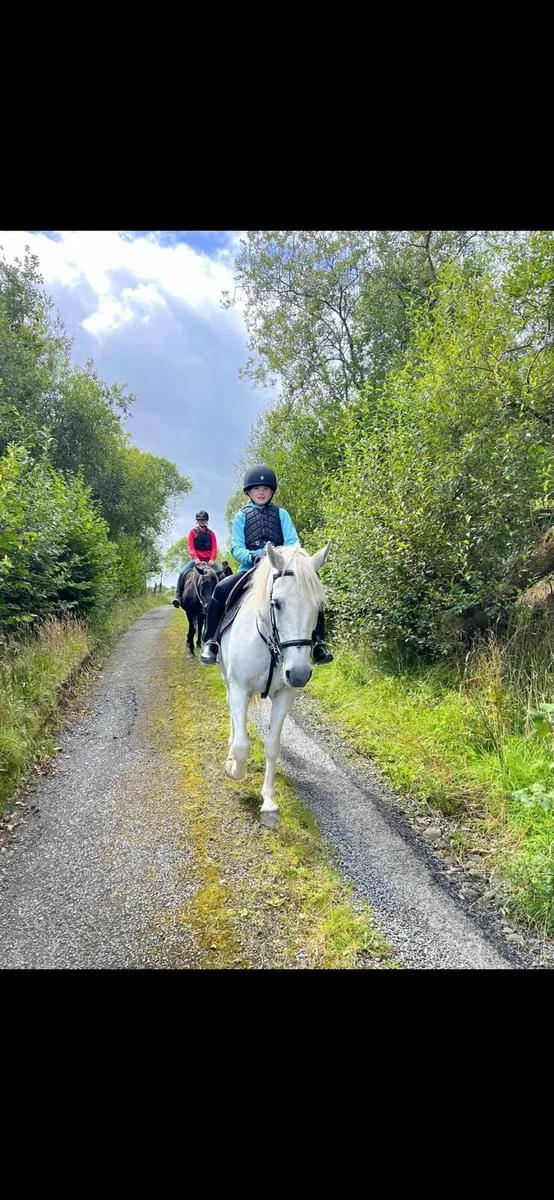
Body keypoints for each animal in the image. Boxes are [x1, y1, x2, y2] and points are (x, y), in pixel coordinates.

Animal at [218, 541, 329, 827]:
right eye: (276, 603)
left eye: (318, 606)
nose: (299, 673)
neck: (269, 643)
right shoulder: (239, 688)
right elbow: (242, 746)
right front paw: (233, 767)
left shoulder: (285, 695)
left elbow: (272, 746)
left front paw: (268, 802)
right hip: (227, 679)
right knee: (232, 714)